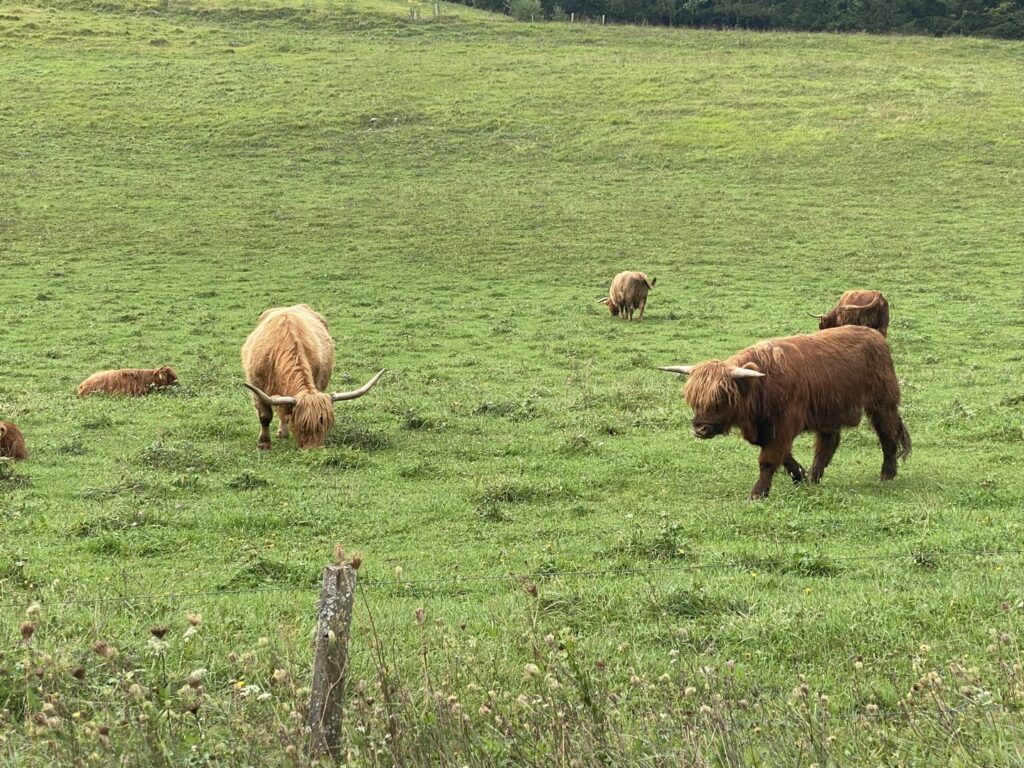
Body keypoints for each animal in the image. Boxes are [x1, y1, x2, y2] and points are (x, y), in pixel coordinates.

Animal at [241, 303, 385, 450]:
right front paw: (264, 444)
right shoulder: (256, 386)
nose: (315, 450)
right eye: (302, 426)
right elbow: (265, 416)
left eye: (325, 425)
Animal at [659, 325, 909, 501]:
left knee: (887, 435)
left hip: (882, 404)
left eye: (721, 398)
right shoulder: (768, 430)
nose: (700, 429)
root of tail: (875, 335)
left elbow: (769, 459)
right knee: (827, 444)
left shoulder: (783, 425)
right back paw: (814, 477)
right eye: (694, 400)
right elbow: (784, 455)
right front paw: (800, 477)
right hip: (829, 412)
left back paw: (887, 474)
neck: (762, 386)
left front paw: (758, 493)